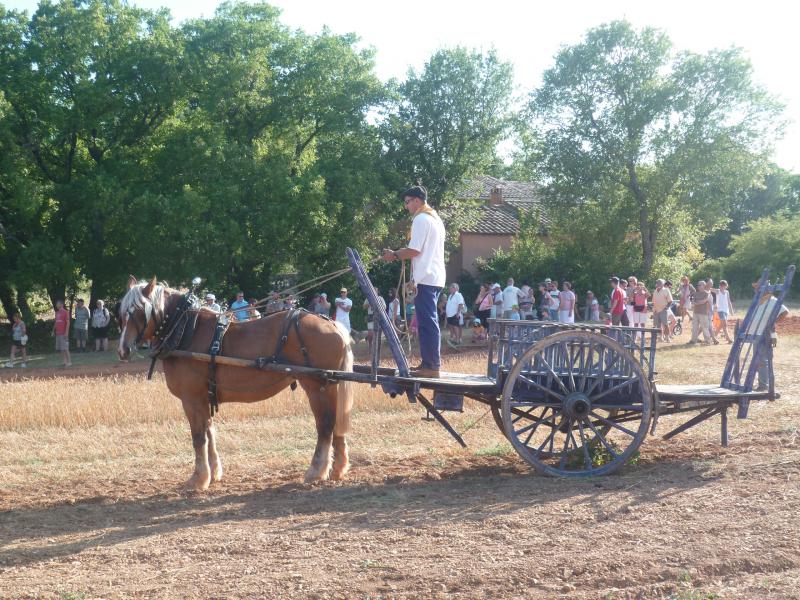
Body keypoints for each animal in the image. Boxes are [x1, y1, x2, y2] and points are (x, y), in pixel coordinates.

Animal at [118, 276, 354, 488]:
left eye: (140, 310)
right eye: (121, 313)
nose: (123, 350)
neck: (185, 330)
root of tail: (333, 325)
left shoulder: (191, 398)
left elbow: (198, 437)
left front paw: (198, 479)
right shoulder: (204, 398)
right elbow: (209, 431)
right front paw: (213, 473)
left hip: (317, 385)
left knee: (325, 425)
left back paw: (316, 471)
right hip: (330, 385)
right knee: (336, 423)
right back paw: (338, 469)